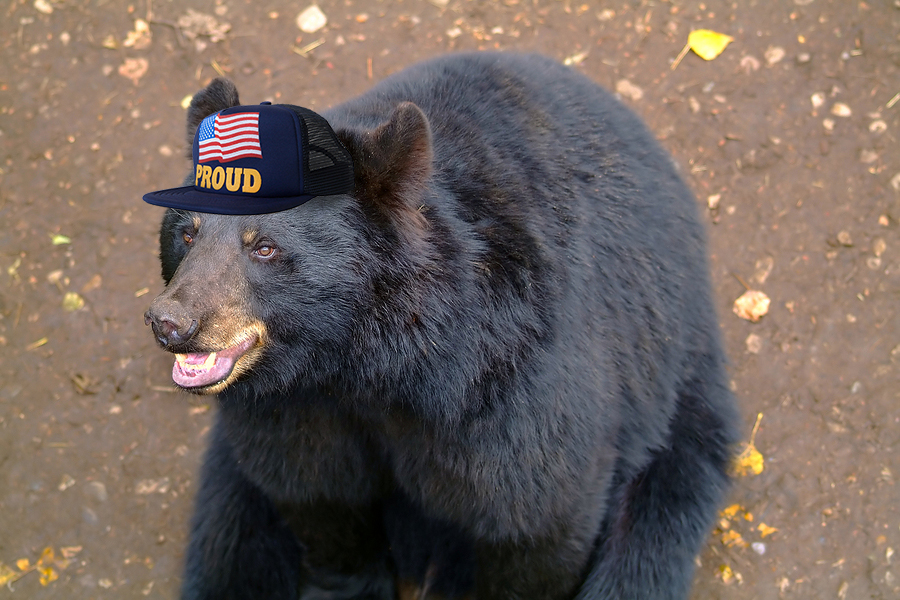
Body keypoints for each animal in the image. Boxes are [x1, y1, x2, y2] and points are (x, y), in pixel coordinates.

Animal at [143, 52, 738, 600]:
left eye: (264, 247)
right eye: (187, 232)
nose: (171, 322)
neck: (362, 363)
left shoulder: (511, 386)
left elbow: (538, 515)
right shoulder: (291, 413)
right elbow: (317, 498)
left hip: (674, 397)